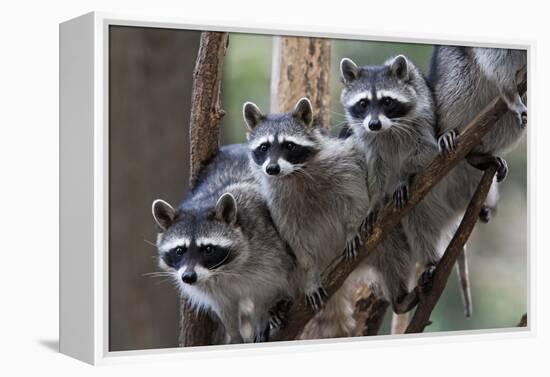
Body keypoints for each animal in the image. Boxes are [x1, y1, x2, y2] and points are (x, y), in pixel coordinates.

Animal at [151, 142, 298, 342]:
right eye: (180, 250)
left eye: (208, 249)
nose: (188, 277)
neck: (222, 271)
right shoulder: (211, 288)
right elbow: (225, 309)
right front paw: (234, 335)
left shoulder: (268, 249)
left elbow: (266, 289)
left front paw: (262, 316)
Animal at [245, 97, 418, 338]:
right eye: (264, 147)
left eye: (289, 145)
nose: (272, 168)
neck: (294, 173)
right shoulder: (278, 203)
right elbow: (294, 240)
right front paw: (310, 275)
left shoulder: (343, 164)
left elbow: (356, 196)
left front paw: (353, 229)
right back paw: (276, 307)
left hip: (386, 235)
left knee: (393, 252)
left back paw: (398, 295)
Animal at [340, 54, 484, 316]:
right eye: (363, 103)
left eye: (387, 101)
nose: (374, 124)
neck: (387, 129)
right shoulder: (366, 138)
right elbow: (373, 168)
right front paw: (376, 200)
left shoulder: (423, 117)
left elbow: (427, 150)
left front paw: (405, 175)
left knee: (417, 216)